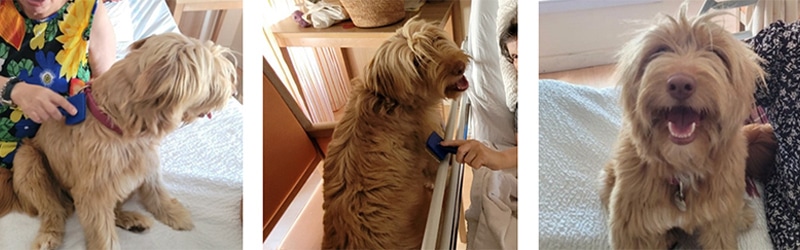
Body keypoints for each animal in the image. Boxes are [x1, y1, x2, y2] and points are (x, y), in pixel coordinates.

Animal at [0, 33, 238, 250]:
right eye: (217, 75)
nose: (234, 91)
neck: (123, 125)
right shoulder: (93, 193)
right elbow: (102, 232)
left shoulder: (147, 164)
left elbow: (157, 192)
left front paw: (174, 213)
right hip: (28, 162)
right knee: (54, 211)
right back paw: (48, 238)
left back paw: (131, 220)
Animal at [600, 6, 768, 249]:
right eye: (659, 50)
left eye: (716, 53)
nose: (680, 84)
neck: (683, 170)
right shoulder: (633, 228)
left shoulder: (719, 221)